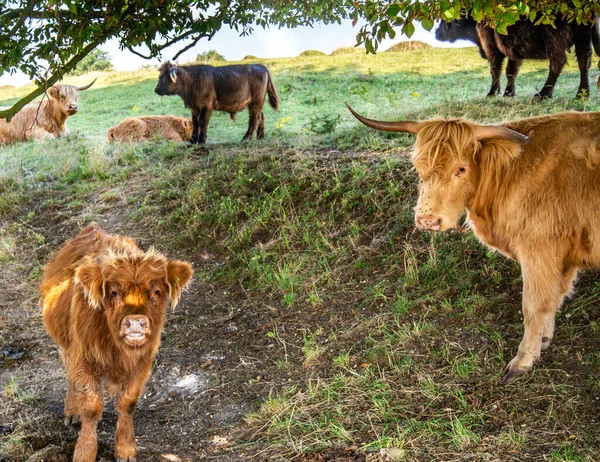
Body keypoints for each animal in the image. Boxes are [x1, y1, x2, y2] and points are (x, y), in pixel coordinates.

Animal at [346, 104, 600, 382]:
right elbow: (553, 299)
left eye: (461, 169)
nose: (427, 220)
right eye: (417, 167)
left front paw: (523, 360)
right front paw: (543, 341)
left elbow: (534, 306)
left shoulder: (538, 252)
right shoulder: (561, 259)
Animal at [436, 16, 600, 98]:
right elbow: (511, 72)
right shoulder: (513, 53)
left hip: (555, 38)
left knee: (557, 63)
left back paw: (543, 94)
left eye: (445, 22)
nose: (437, 34)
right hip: (583, 36)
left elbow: (495, 70)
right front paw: (508, 93)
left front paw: (492, 92)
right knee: (584, 63)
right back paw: (582, 93)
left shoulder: (492, 49)